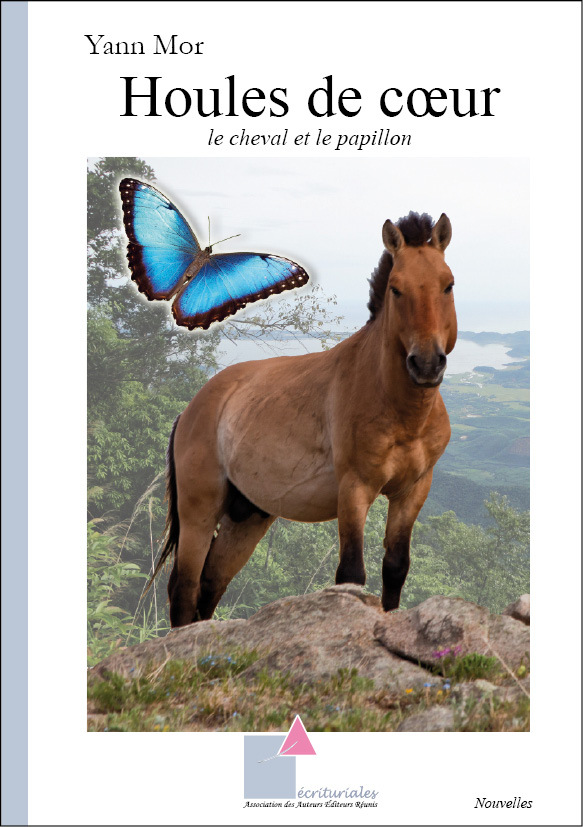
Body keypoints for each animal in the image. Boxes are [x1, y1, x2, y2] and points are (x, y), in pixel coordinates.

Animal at [156, 211, 457, 627]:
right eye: (396, 289)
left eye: (448, 285)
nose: (426, 364)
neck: (400, 412)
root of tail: (190, 409)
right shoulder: (355, 488)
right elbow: (351, 574)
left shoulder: (413, 490)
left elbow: (395, 568)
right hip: (199, 509)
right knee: (184, 588)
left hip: (247, 517)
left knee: (210, 585)